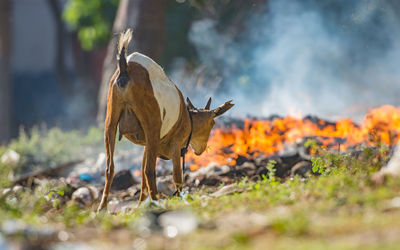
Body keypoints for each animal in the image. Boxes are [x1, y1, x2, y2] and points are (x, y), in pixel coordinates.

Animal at [97, 29, 234, 211]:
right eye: (212, 123)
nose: (200, 150)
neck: (187, 118)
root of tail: (125, 67)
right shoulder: (174, 144)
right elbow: (177, 177)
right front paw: (181, 198)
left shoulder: (147, 146)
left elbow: (142, 178)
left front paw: (140, 204)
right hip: (152, 125)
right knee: (149, 170)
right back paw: (156, 201)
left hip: (111, 120)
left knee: (110, 168)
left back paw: (102, 208)